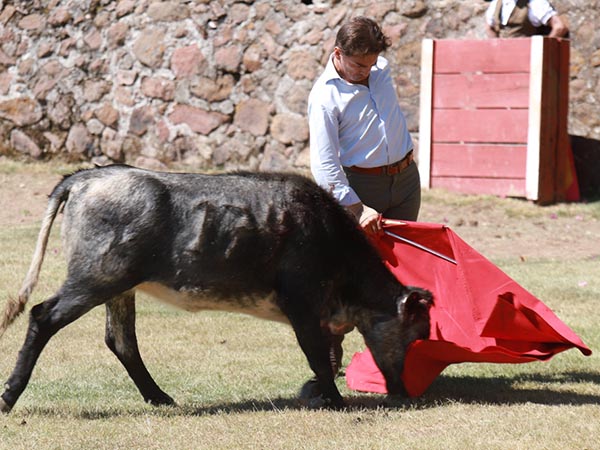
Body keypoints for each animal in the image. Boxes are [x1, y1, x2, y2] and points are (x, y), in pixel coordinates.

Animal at [0, 165, 432, 412]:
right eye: (414, 336)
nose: (403, 393)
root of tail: (85, 179)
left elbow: (323, 353)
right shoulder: (303, 305)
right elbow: (317, 356)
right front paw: (336, 400)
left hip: (118, 287)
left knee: (121, 341)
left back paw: (160, 398)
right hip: (96, 276)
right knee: (44, 317)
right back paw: (9, 396)